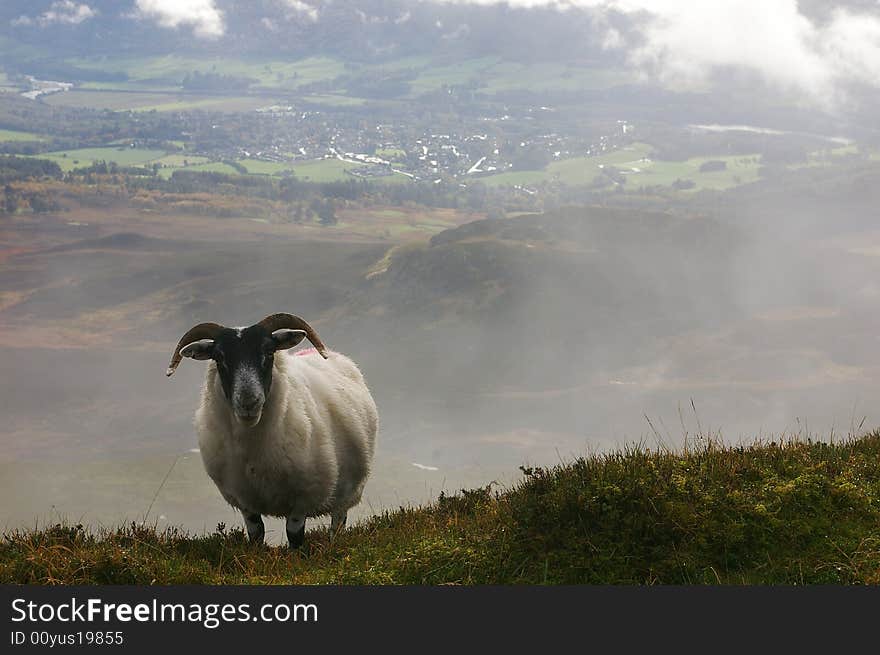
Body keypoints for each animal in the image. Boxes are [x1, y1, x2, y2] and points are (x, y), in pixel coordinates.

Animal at [165, 312, 378, 548]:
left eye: (269, 351)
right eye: (219, 358)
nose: (249, 402)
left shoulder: (301, 499)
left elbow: (295, 537)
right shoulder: (245, 501)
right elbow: (256, 535)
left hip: (347, 492)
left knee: (337, 524)